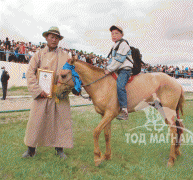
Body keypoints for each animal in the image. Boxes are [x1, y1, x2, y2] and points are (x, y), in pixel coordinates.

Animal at [55, 59, 184, 167]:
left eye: (63, 75)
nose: (56, 93)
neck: (102, 84)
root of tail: (176, 82)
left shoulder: (110, 114)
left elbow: (96, 132)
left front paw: (97, 157)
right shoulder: (104, 115)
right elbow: (107, 134)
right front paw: (106, 156)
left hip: (168, 111)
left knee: (173, 131)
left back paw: (171, 159)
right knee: (178, 128)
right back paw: (177, 152)